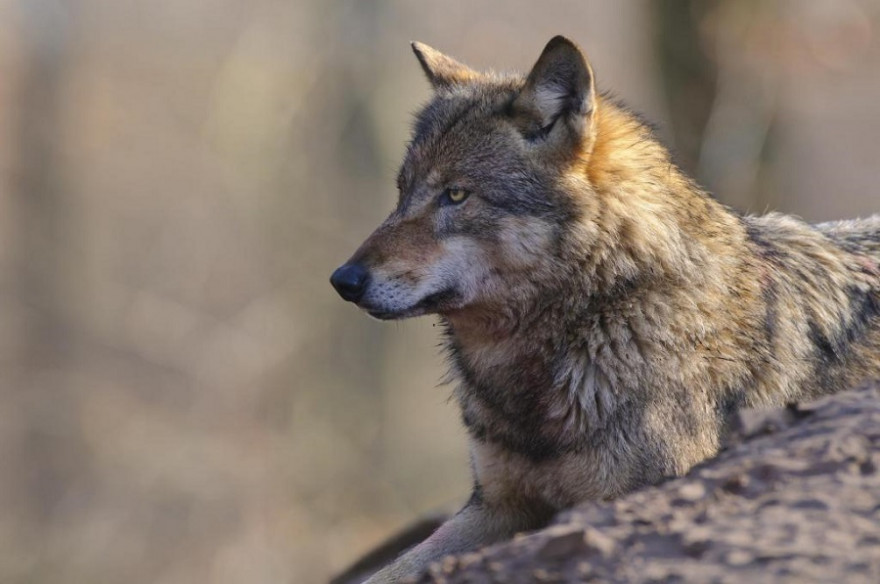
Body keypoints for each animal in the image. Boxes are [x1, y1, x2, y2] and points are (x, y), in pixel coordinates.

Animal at [330, 37, 880, 584]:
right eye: (402, 193)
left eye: (456, 194)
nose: (343, 280)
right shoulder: (496, 507)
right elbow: (388, 572)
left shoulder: (634, 491)